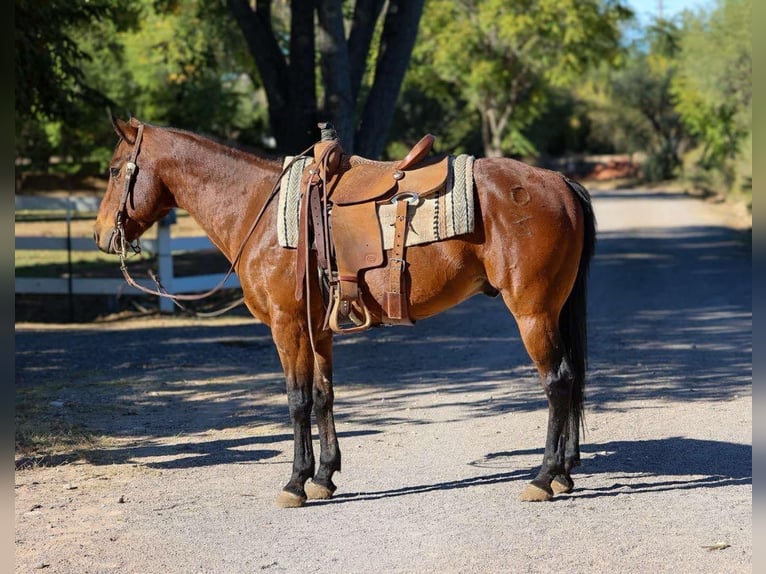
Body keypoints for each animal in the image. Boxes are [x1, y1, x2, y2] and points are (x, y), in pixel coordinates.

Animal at [94, 116, 596, 507]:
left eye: (116, 170)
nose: (100, 235)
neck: (260, 209)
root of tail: (558, 182)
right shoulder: (318, 330)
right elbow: (323, 396)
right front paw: (323, 477)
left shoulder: (287, 326)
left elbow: (296, 400)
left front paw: (295, 483)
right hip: (553, 310)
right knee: (570, 379)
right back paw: (564, 473)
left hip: (532, 312)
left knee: (557, 382)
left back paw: (543, 477)